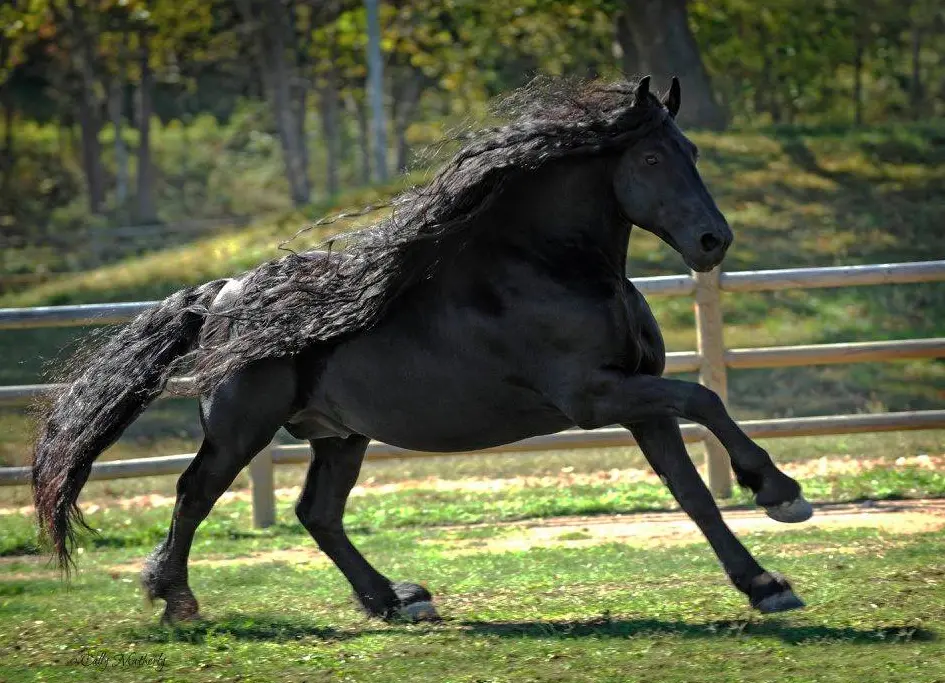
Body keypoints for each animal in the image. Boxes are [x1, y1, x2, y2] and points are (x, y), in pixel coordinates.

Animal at [31, 76, 812, 624]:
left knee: (317, 513)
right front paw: (779, 492)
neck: (550, 267)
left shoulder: (636, 398)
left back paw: (394, 599)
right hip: (241, 428)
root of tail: (221, 293)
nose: (713, 241)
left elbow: (691, 490)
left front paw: (765, 583)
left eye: (693, 153)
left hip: (338, 436)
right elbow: (704, 397)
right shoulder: (596, 396)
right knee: (195, 493)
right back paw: (176, 599)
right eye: (650, 156)